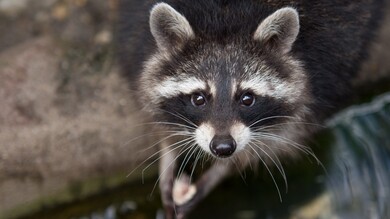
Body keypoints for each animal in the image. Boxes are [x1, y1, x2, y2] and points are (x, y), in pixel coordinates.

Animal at [118, 0, 384, 218]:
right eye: (198, 99)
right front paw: (168, 152)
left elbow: (282, 137)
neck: (226, 18)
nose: (223, 148)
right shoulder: (135, 38)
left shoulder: (326, 68)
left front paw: (220, 172)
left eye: (247, 99)